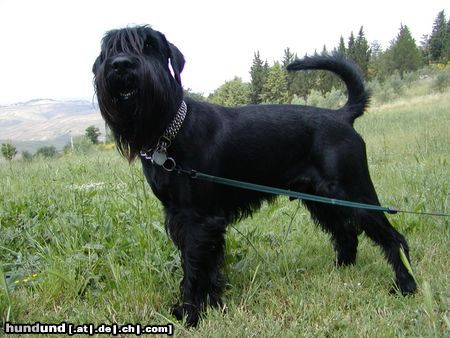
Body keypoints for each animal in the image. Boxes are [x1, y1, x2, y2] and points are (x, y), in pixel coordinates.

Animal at [92, 25, 418, 326]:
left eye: (148, 45)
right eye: (109, 49)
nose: (121, 64)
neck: (169, 129)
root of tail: (342, 116)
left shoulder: (198, 218)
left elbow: (194, 267)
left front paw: (190, 313)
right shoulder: (182, 217)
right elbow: (207, 265)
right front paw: (211, 304)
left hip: (354, 192)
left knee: (393, 238)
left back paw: (405, 285)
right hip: (322, 198)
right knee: (346, 233)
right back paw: (341, 270)